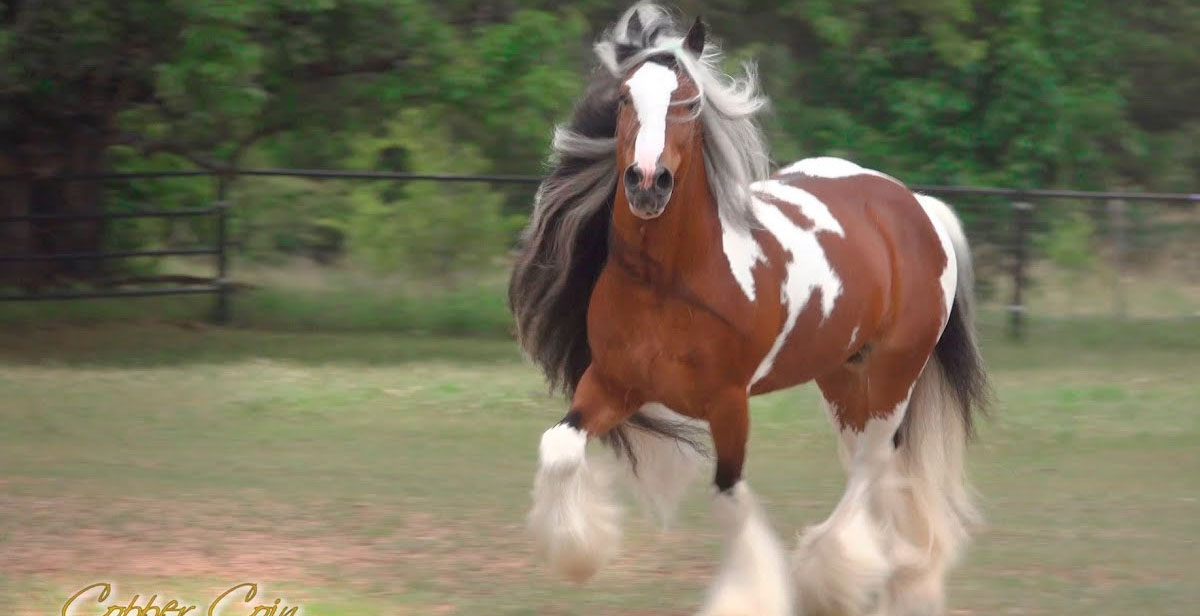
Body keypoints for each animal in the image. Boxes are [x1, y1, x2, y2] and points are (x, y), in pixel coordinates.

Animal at [506, 4, 984, 614]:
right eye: (625, 98)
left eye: (688, 101)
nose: (647, 183)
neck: (673, 284)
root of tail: (916, 207)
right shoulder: (612, 384)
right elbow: (559, 448)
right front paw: (577, 553)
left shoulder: (729, 403)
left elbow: (729, 497)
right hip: (842, 376)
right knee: (871, 464)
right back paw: (883, 578)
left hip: (893, 372)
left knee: (871, 465)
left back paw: (834, 577)